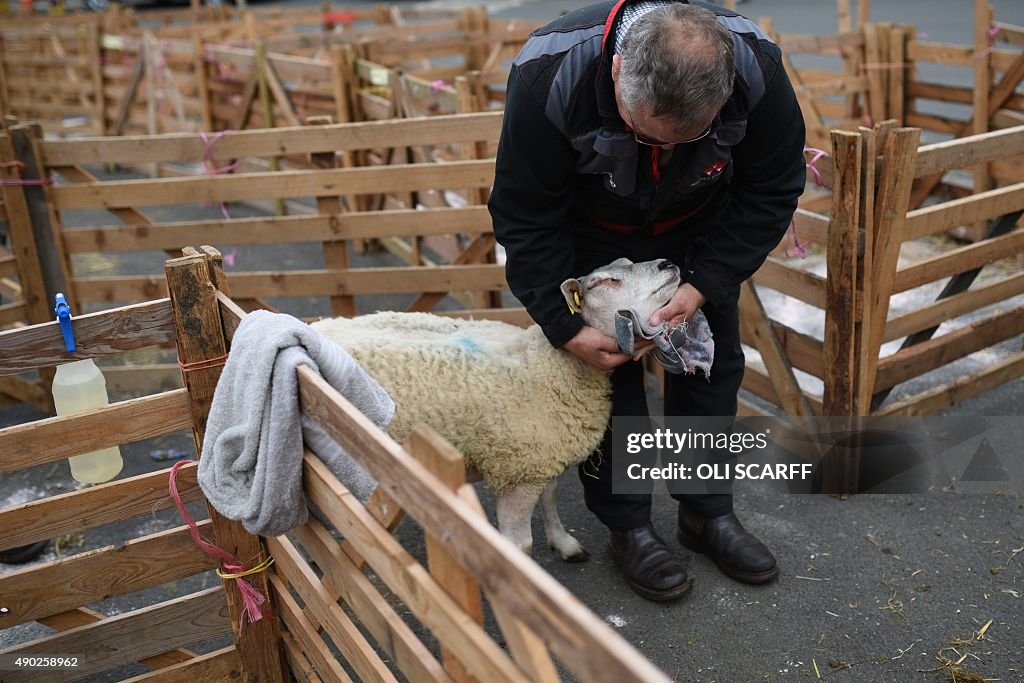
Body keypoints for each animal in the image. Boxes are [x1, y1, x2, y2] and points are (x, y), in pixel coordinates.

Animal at [311, 255, 679, 561]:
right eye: (605, 282)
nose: (667, 263)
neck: (551, 363)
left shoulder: (539, 457)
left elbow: (551, 497)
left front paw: (563, 542)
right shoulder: (516, 471)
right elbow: (519, 546)